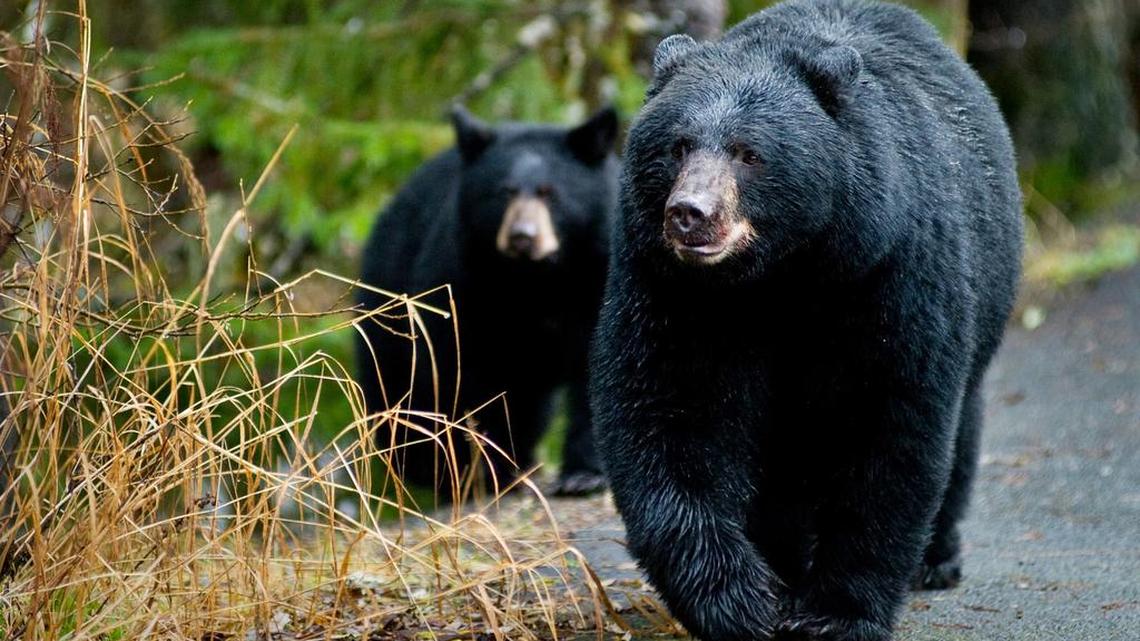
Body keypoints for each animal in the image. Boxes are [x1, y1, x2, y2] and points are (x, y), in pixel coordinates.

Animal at [357, 105, 619, 498]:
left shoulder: (598, 276)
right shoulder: (463, 282)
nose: (522, 237)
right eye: (504, 192)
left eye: (549, 193)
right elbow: (463, 371)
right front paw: (487, 471)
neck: (538, 279)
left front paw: (583, 476)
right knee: (401, 388)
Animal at [589, 1, 1023, 640]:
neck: (781, 277)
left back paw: (936, 559)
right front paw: (739, 599)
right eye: (678, 145)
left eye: (748, 152)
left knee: (959, 426)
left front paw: (836, 612)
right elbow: (672, 412)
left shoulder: (890, 270)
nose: (690, 214)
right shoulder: (673, 291)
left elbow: (888, 427)